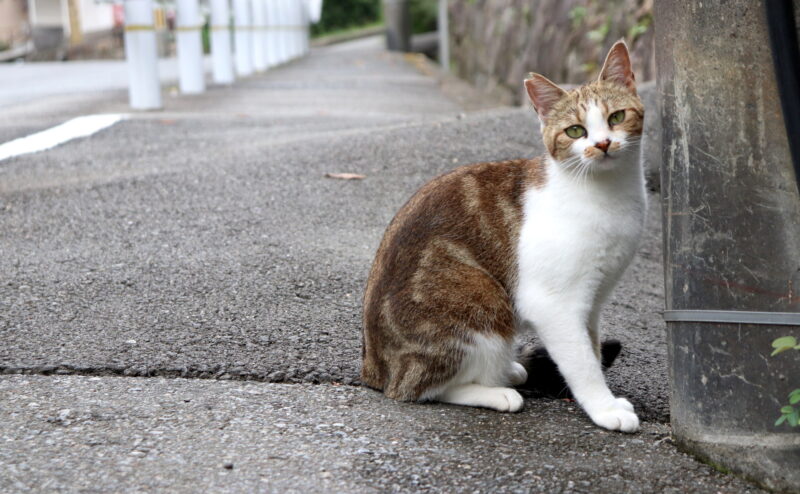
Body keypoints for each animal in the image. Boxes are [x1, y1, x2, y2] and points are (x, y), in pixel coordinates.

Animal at [360, 39, 648, 432]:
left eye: (616, 117)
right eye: (575, 131)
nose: (602, 144)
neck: (606, 193)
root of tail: (373, 369)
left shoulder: (593, 300)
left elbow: (591, 346)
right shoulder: (553, 302)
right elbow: (582, 361)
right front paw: (603, 408)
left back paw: (507, 370)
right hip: (480, 299)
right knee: (416, 387)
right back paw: (495, 391)